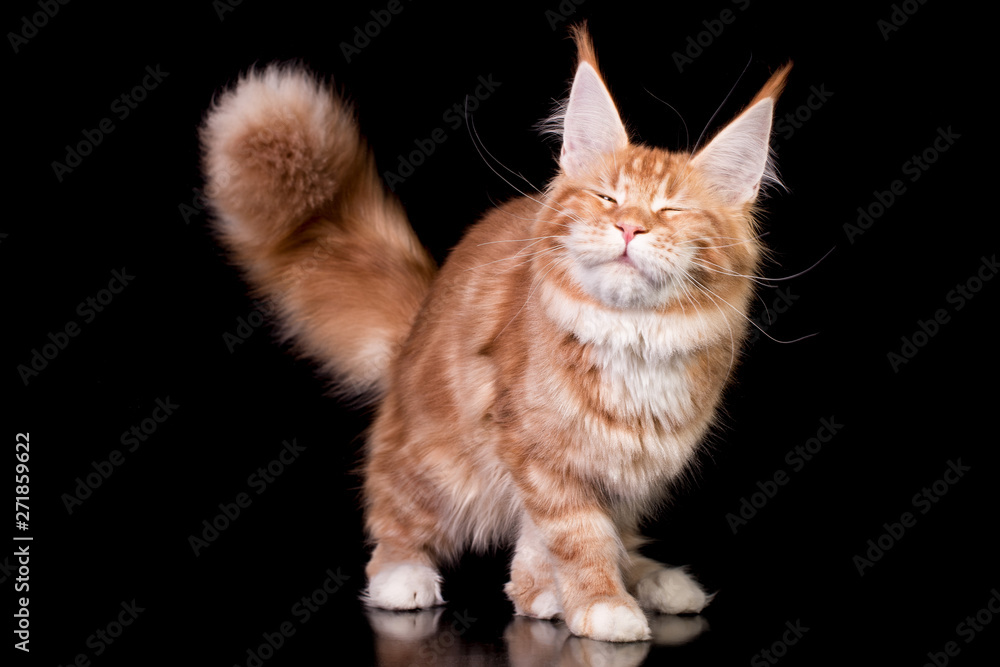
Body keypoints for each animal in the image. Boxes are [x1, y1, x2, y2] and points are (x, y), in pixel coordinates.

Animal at [201, 28, 788, 644]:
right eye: (606, 198)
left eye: (671, 209)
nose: (630, 226)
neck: (632, 337)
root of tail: (415, 328)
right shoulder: (533, 450)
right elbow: (575, 536)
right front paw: (596, 603)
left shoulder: (617, 469)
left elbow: (568, 536)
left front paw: (550, 595)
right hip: (437, 463)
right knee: (392, 515)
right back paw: (403, 576)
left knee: (619, 542)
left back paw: (655, 582)